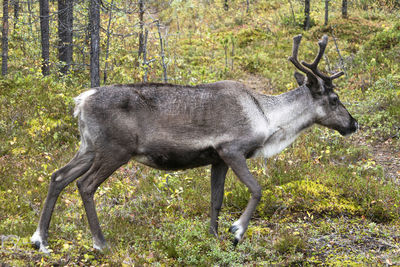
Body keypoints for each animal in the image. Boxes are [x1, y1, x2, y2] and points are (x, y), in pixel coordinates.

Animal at [31, 35, 356, 253]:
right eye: (334, 98)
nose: (353, 124)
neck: (267, 119)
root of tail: (80, 101)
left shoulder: (217, 159)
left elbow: (216, 200)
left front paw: (213, 237)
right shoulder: (232, 150)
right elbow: (257, 189)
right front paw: (237, 231)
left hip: (88, 147)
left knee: (58, 176)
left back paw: (40, 240)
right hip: (114, 151)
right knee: (85, 185)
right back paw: (100, 243)